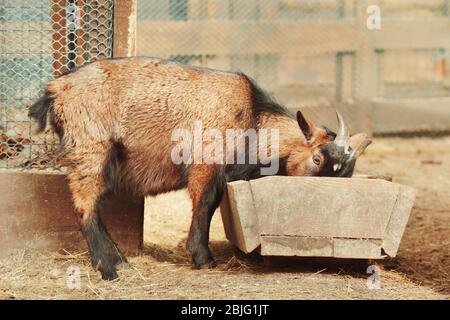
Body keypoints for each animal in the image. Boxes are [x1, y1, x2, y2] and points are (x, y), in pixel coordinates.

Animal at [29, 57, 372, 280]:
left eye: (347, 173)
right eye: (318, 159)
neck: (252, 118)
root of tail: (57, 89)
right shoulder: (206, 164)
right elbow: (205, 205)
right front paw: (203, 258)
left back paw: (120, 260)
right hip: (90, 149)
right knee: (85, 206)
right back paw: (109, 268)